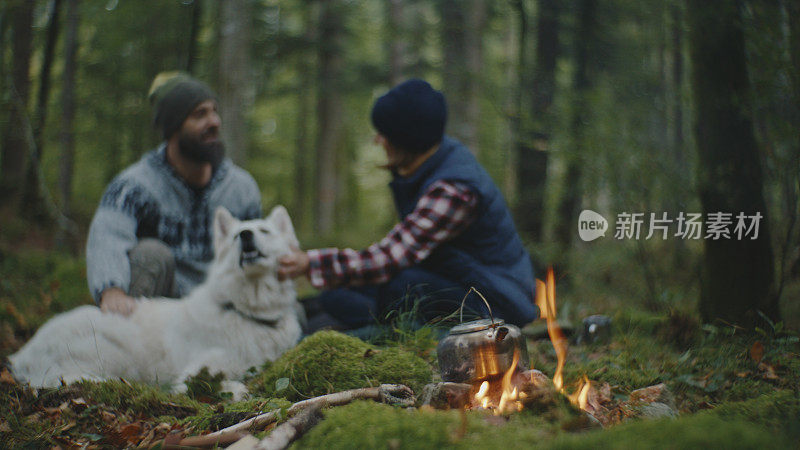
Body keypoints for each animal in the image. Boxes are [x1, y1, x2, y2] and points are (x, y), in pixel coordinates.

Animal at [8, 205, 304, 398]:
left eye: (264, 230)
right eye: (235, 237)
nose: (245, 236)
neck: (248, 311)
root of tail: (22, 353)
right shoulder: (197, 370)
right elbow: (207, 384)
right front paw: (236, 389)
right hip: (110, 349)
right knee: (63, 379)